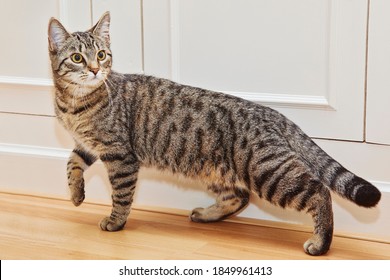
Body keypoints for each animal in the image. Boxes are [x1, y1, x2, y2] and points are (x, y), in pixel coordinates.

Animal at [47, 12, 380, 255]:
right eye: (77, 58)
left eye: (103, 55)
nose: (94, 70)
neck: (74, 104)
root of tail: (273, 113)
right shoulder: (87, 145)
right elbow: (71, 164)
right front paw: (76, 194)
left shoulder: (119, 155)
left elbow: (121, 195)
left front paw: (115, 222)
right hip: (217, 170)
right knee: (240, 197)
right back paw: (207, 214)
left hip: (267, 172)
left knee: (319, 192)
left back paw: (321, 243)